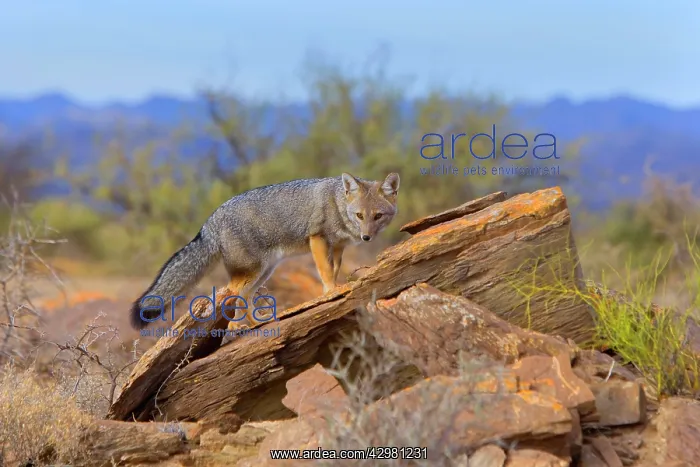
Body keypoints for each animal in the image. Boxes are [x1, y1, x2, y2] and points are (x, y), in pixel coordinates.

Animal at [129, 172, 400, 330]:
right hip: (253, 271)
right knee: (233, 295)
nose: (366, 237)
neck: (338, 202)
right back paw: (241, 328)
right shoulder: (318, 238)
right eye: (360, 216)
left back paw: (255, 324)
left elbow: (333, 270)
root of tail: (211, 220)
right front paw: (332, 292)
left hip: (264, 272)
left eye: (377, 216)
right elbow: (325, 272)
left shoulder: (338, 246)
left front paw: (334, 289)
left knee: (245, 298)